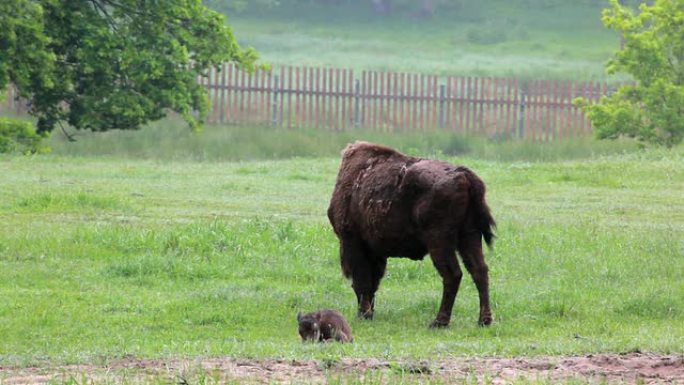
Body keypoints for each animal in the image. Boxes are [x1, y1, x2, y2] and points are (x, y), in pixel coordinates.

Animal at [328, 141, 496, 328]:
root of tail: (465, 175)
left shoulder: (353, 243)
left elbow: (362, 282)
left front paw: (364, 314)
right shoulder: (375, 251)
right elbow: (372, 283)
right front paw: (368, 313)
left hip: (439, 241)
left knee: (453, 274)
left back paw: (439, 322)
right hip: (469, 236)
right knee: (479, 270)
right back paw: (484, 320)